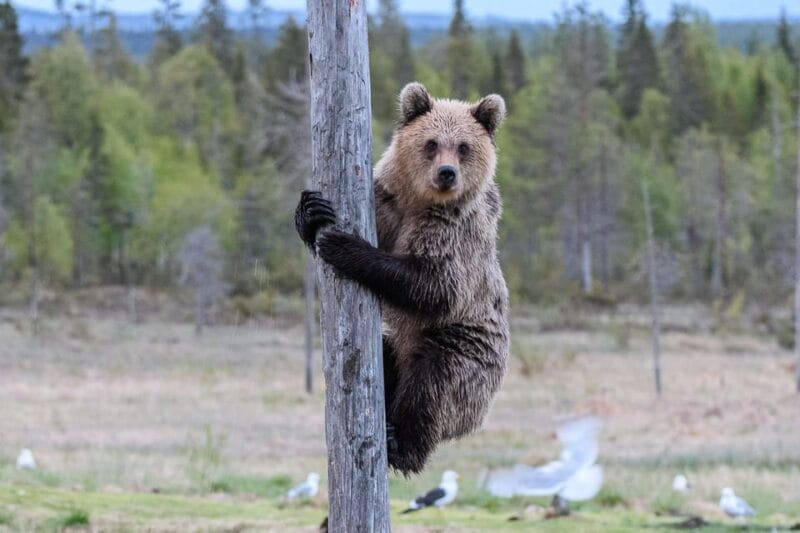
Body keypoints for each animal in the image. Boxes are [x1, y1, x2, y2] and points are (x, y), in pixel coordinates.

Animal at [295, 82, 509, 475]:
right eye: (431, 143)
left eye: (463, 147)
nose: (446, 173)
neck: (419, 201)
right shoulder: (386, 203)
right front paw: (313, 211)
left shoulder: (455, 233)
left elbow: (433, 284)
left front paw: (342, 244)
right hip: (397, 342)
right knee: (383, 353)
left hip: (466, 351)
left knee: (433, 384)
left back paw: (401, 445)